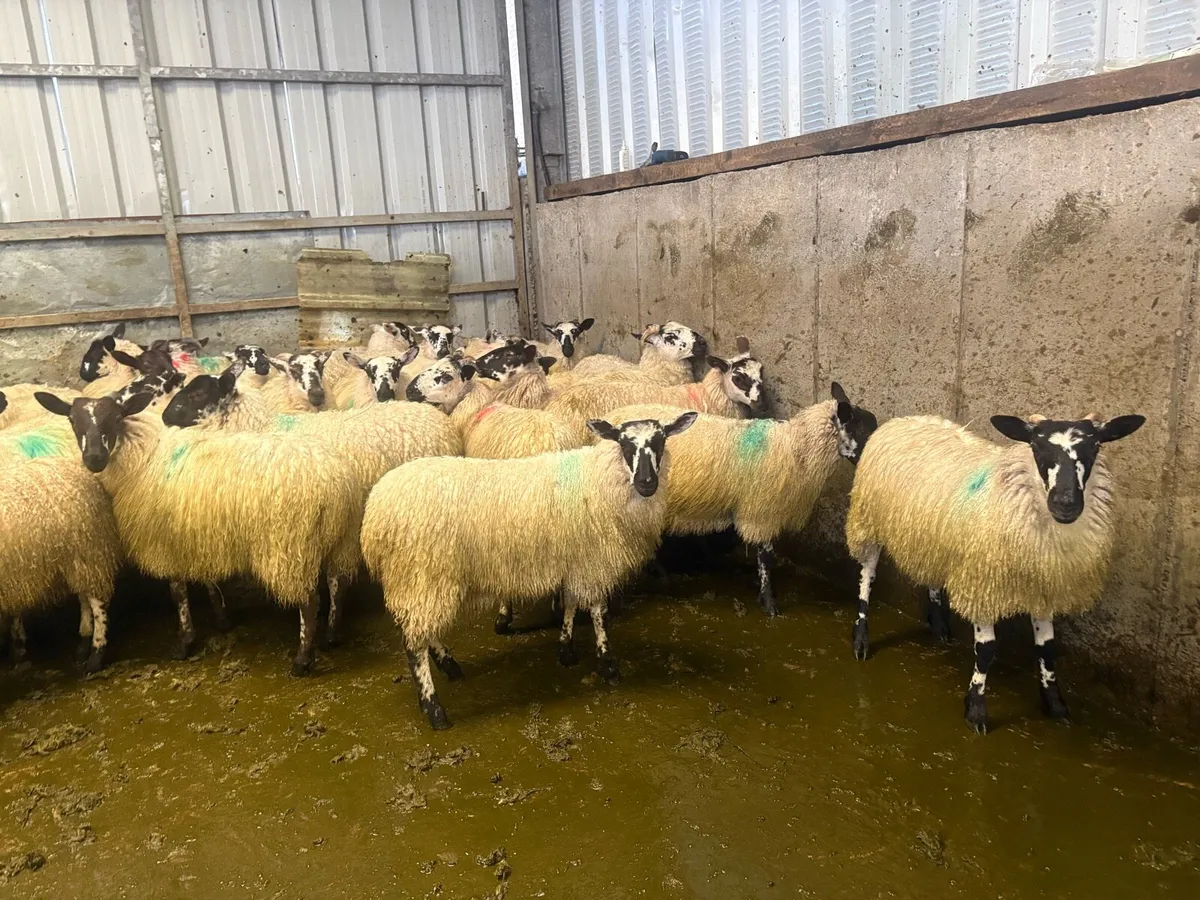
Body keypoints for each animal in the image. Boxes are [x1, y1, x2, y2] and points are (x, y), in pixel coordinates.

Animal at [0, 419, 121, 674]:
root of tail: (83, 472)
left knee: (97, 603)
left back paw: (95, 655)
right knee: (83, 597)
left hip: (88, 552)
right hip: (75, 559)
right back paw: (82, 643)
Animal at [35, 388, 363, 673]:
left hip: (289, 546)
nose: (93, 459)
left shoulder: (165, 540)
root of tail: (336, 482)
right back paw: (331, 637)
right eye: (72, 420)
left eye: (116, 418)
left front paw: (184, 642)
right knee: (337, 585)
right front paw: (222, 620)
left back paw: (302, 660)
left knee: (309, 602)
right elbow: (207, 579)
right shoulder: (198, 536)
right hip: (339, 540)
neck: (142, 457)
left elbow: (177, 593)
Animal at [361, 410, 698, 730]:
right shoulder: (592, 562)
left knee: (421, 631)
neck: (600, 482)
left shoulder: (573, 560)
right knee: (414, 646)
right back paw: (435, 711)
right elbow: (598, 611)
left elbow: (570, 604)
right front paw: (608, 665)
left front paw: (566, 650)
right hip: (423, 576)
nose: (647, 484)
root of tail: (376, 511)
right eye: (625, 444)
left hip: (419, 581)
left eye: (661, 440)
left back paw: (450, 666)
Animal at [844, 412, 1146, 734]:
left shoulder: (1043, 586)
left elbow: (1047, 648)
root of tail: (904, 419)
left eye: (1095, 447)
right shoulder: (982, 583)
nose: (1065, 504)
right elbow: (986, 650)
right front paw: (975, 710)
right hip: (868, 520)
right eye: (1036, 447)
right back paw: (861, 639)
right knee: (866, 577)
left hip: (931, 538)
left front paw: (1055, 704)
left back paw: (939, 627)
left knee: (932, 578)